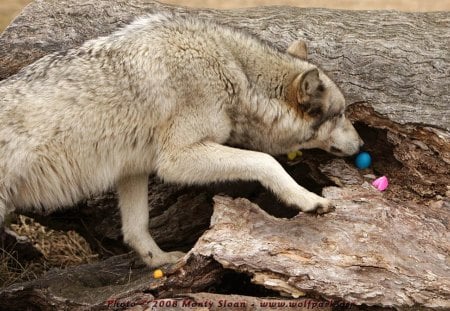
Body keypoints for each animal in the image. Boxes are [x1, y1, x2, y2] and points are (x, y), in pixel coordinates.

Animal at [0, 13, 364, 266]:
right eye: (340, 114)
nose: (362, 146)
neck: (236, 74)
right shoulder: (175, 161)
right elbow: (266, 161)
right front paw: (309, 200)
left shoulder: (133, 169)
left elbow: (136, 228)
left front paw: (158, 261)